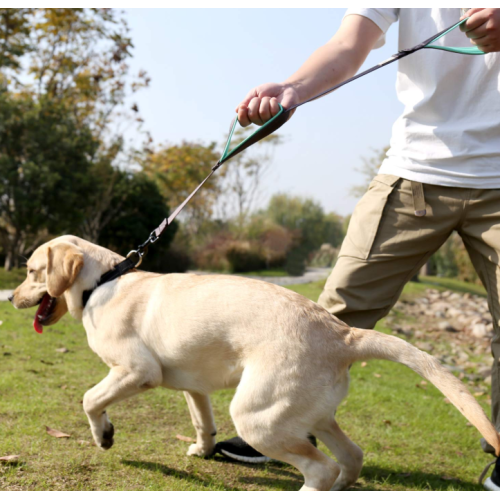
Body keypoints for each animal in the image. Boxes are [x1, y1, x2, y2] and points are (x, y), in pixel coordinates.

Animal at [10, 236, 500, 490]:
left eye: (32, 271)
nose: (11, 298)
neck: (102, 282)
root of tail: (343, 334)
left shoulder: (134, 371)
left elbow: (90, 399)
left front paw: (104, 436)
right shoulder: (194, 387)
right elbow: (202, 421)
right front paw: (202, 450)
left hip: (256, 416)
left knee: (321, 468)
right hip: (310, 415)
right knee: (351, 457)